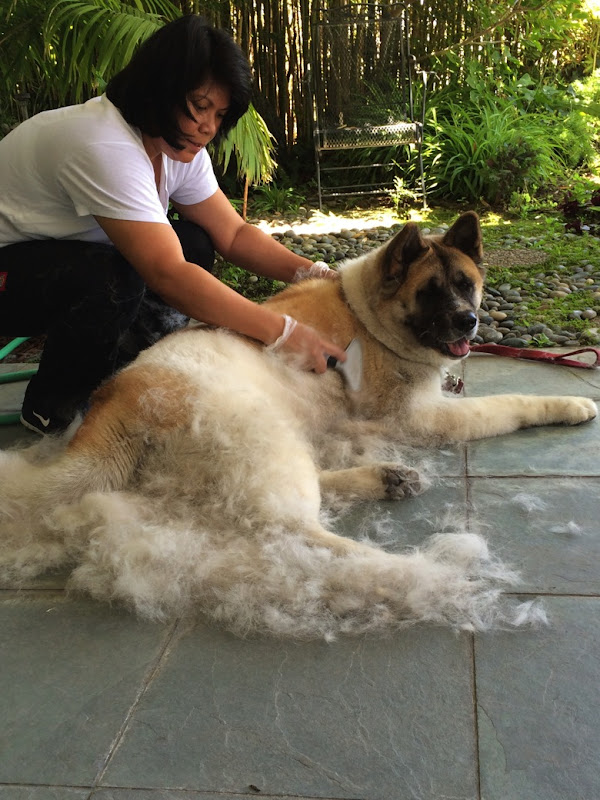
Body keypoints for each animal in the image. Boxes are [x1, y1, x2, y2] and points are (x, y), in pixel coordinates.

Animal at [0, 211, 596, 638]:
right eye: (429, 292)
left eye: (466, 284)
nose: (469, 322)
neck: (367, 316)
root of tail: (116, 398)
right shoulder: (423, 417)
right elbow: (510, 403)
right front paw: (570, 403)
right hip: (265, 438)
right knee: (292, 534)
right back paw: (409, 568)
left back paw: (386, 479)